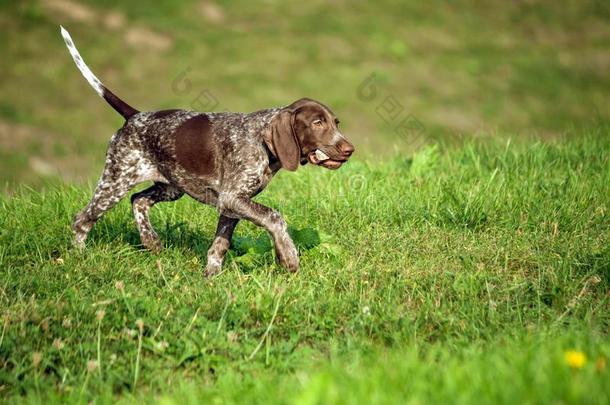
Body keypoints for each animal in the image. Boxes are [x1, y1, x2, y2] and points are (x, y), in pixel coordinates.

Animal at [59, 26, 354, 276]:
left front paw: (211, 277)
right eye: (317, 123)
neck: (262, 142)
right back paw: (80, 257)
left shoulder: (232, 205)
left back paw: (151, 241)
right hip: (115, 180)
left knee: (138, 200)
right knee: (82, 220)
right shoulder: (233, 197)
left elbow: (219, 245)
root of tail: (134, 116)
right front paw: (288, 256)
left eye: (335, 122)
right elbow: (275, 217)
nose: (350, 149)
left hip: (171, 186)